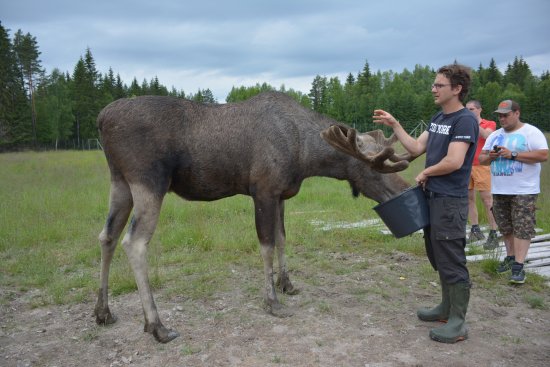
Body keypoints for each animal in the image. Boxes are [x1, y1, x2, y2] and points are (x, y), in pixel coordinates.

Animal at [95, 90, 414, 344]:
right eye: (374, 167)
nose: (405, 190)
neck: (305, 156)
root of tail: (101, 119)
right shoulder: (263, 190)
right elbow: (266, 245)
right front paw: (272, 301)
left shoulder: (281, 194)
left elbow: (283, 239)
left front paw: (288, 284)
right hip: (149, 181)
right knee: (134, 242)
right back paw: (157, 325)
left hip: (119, 181)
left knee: (107, 235)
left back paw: (103, 311)